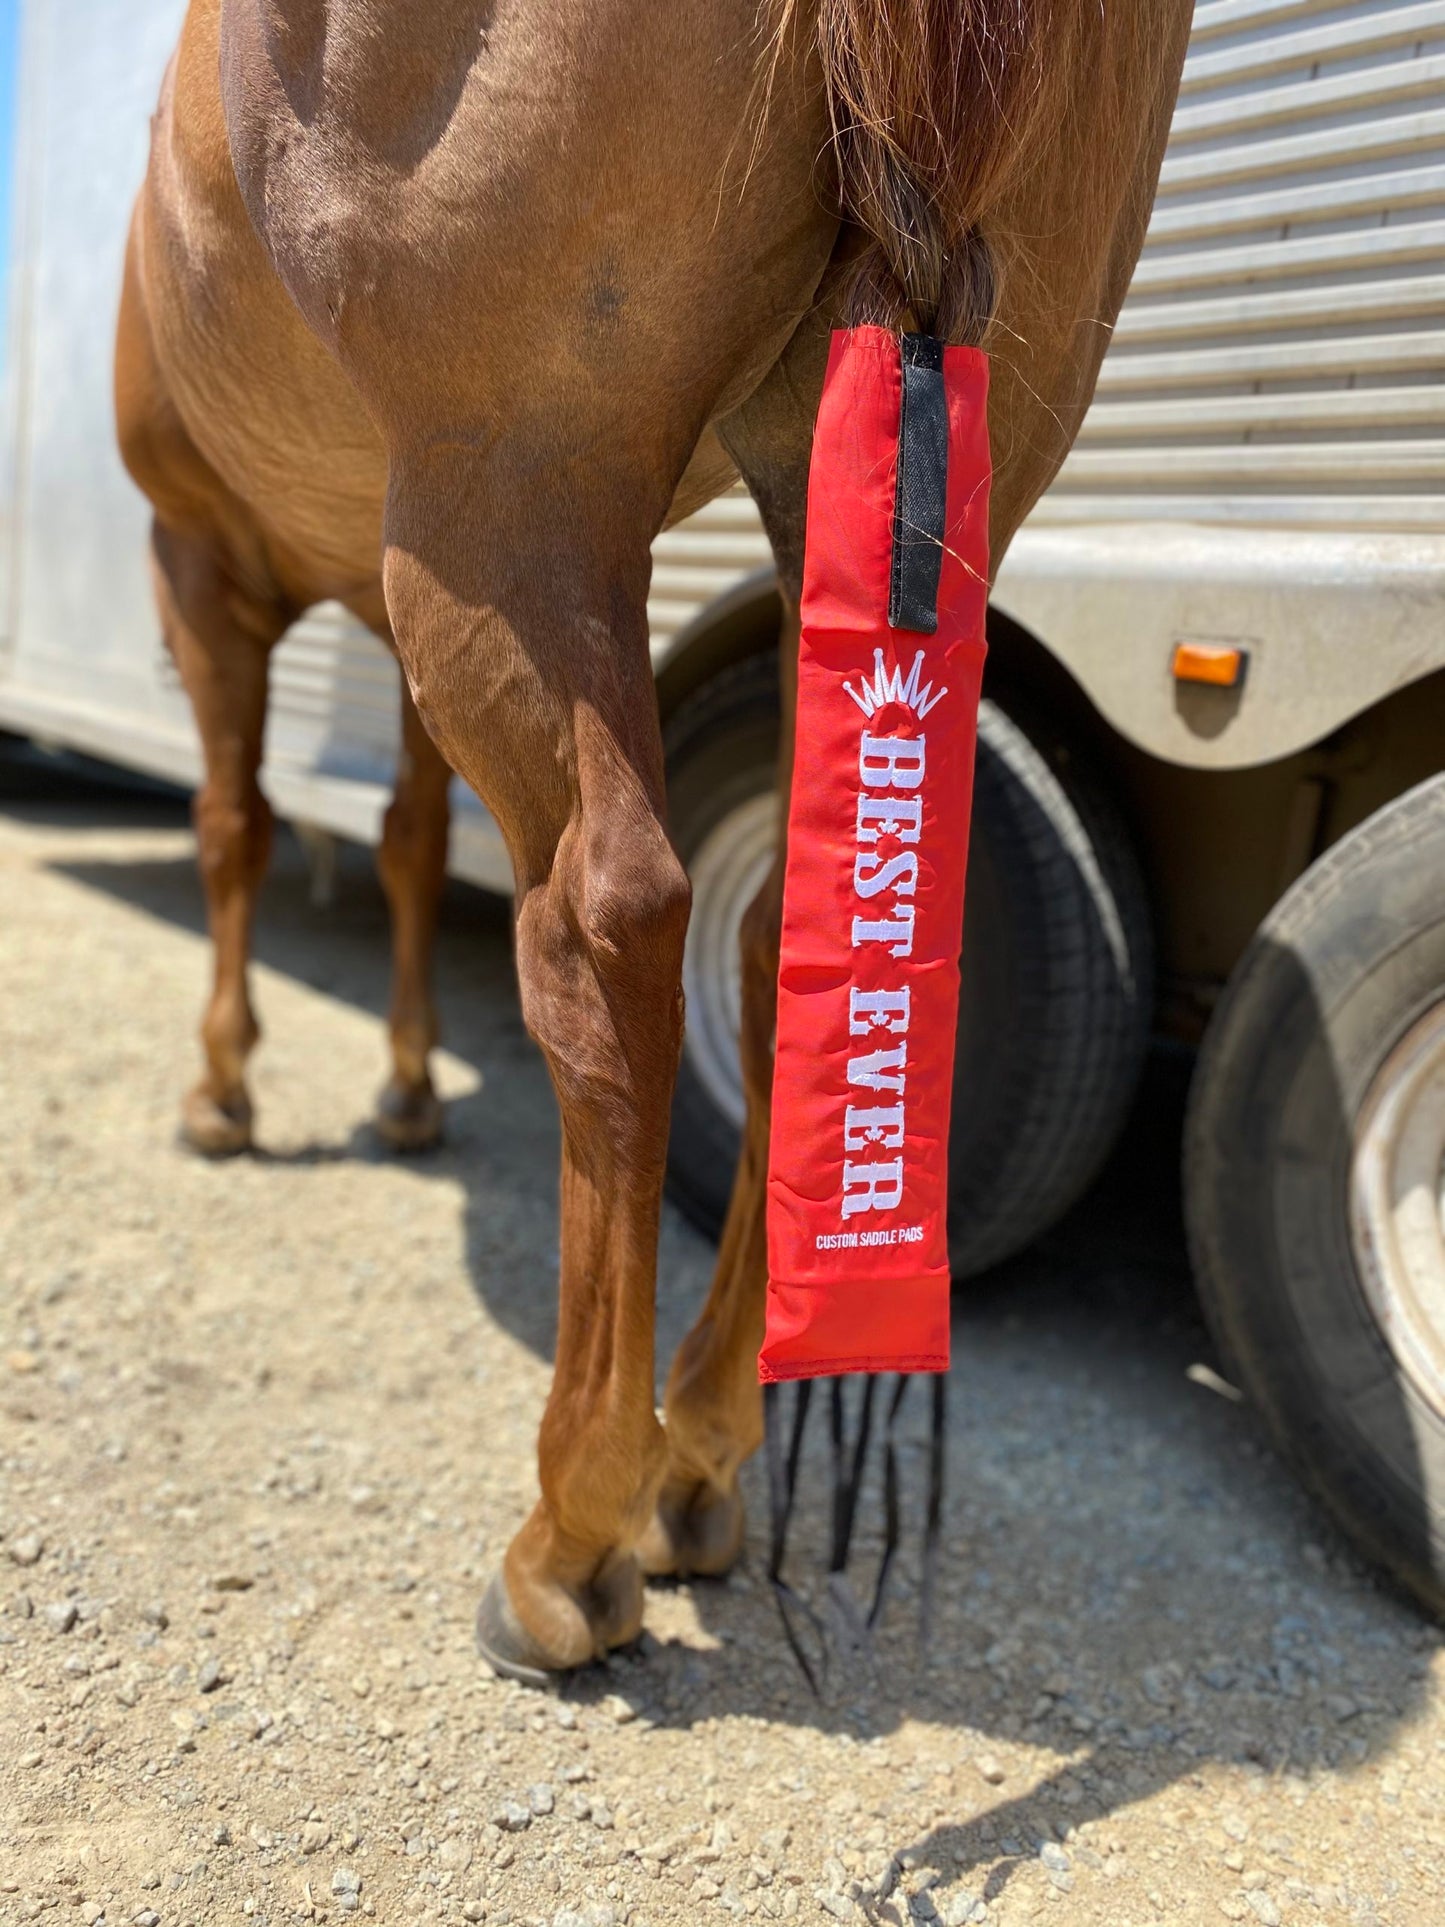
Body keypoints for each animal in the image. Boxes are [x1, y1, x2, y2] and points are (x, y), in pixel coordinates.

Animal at [116, 0, 1202, 1672]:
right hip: (916, 452)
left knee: (607, 916)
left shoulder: (203, 562)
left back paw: (572, 1533)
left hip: (515, 493)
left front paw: (225, 1089)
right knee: (794, 928)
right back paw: (696, 1452)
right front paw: (406, 1085)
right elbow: (406, 837)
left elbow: (236, 826)